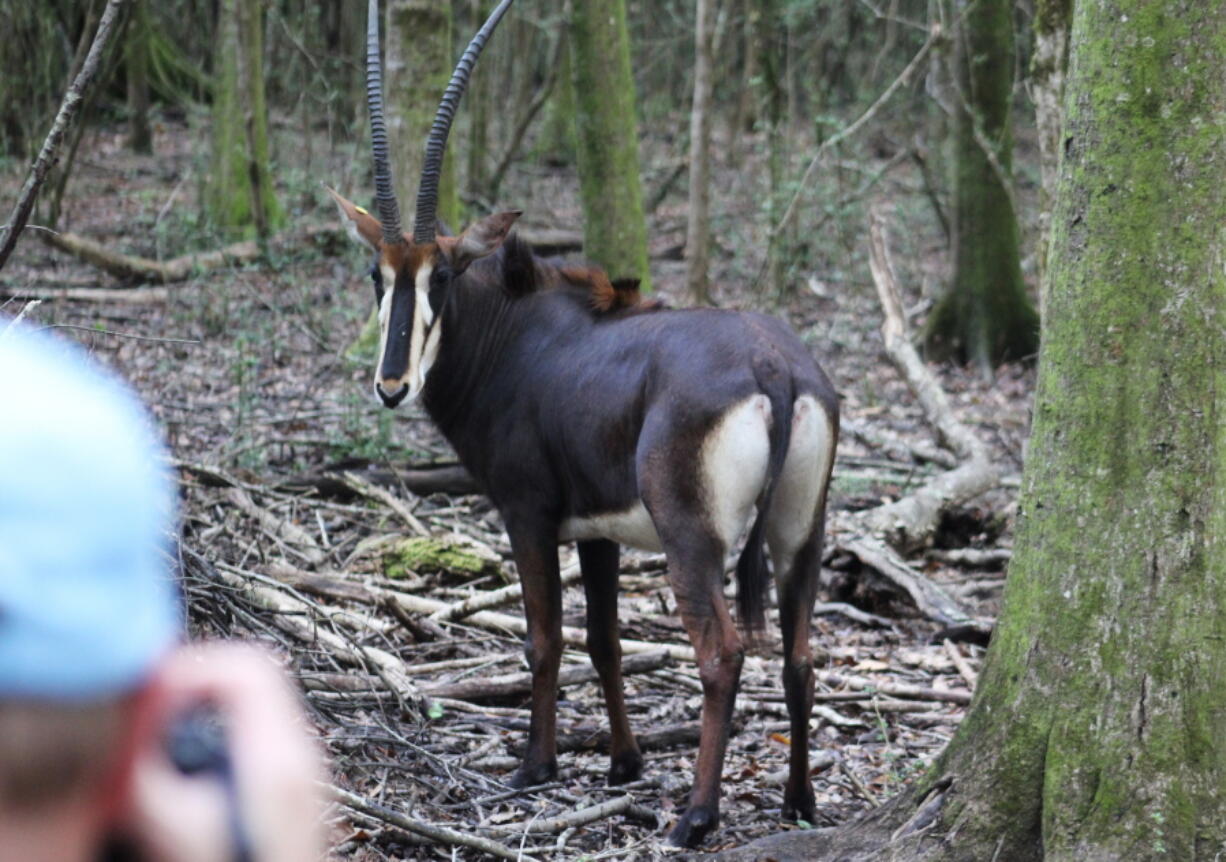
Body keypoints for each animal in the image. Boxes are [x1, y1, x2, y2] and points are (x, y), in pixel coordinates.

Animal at [331, 0, 838, 848]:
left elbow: (545, 639)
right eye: (380, 274)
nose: (392, 385)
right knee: (799, 653)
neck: (518, 335)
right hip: (802, 532)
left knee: (722, 651)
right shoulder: (599, 531)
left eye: (445, 275)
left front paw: (536, 766)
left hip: (691, 536)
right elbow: (603, 641)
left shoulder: (529, 514)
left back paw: (696, 815)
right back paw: (798, 801)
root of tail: (776, 367)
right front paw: (623, 764)